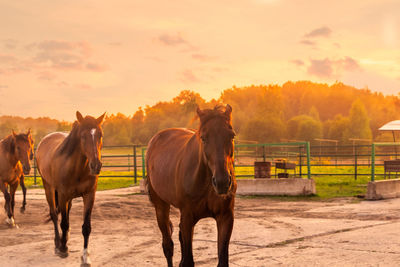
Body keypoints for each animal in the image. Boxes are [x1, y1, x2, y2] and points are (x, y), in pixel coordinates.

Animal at [36, 112, 104, 266]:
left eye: (100, 135)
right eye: (83, 136)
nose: (96, 165)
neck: (77, 168)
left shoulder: (89, 195)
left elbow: (86, 227)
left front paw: (85, 257)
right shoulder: (62, 195)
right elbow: (64, 223)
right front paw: (62, 249)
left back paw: (64, 240)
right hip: (49, 188)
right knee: (55, 215)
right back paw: (58, 244)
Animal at [147, 105, 236, 267]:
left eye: (231, 136)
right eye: (203, 138)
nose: (222, 182)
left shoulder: (225, 217)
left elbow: (222, 260)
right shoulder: (188, 217)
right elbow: (188, 260)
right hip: (161, 207)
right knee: (168, 246)